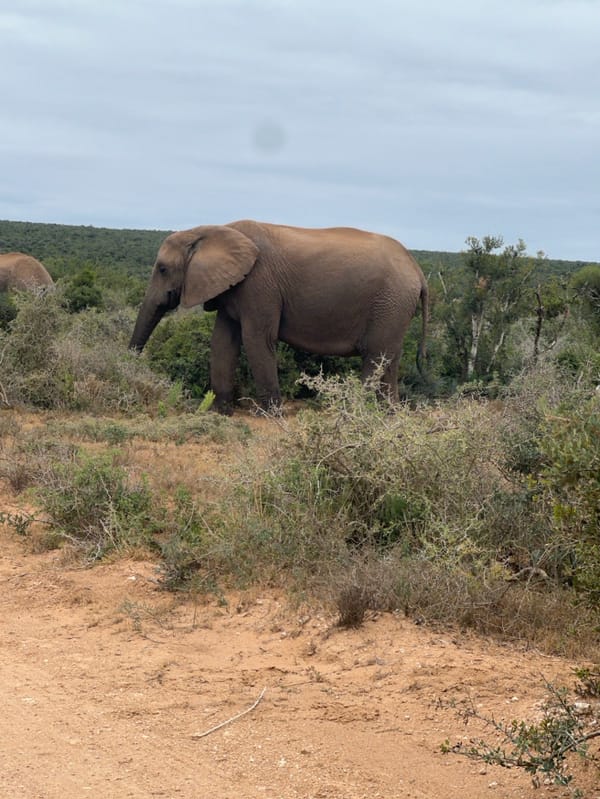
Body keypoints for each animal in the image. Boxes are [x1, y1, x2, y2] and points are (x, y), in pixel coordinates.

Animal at [130, 220, 428, 413]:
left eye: (163, 269)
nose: (131, 368)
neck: (209, 230)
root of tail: (417, 270)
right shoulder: (234, 287)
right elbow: (223, 342)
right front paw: (218, 412)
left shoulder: (259, 284)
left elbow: (257, 339)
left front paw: (271, 415)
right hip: (394, 306)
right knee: (389, 360)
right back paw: (389, 415)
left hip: (391, 301)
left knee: (375, 357)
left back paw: (350, 412)